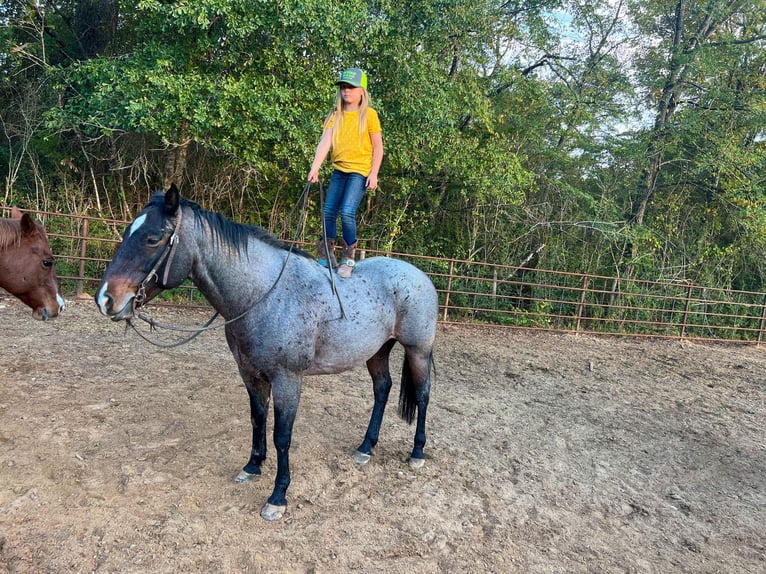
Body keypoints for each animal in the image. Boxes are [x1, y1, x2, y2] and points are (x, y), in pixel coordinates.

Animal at [96, 186, 438, 520]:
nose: (106, 299)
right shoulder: (250, 373)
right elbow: (257, 419)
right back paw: (366, 447)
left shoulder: (288, 379)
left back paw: (417, 453)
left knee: (422, 395)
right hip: (377, 351)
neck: (262, 295)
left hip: (417, 351)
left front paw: (278, 496)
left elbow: (281, 435)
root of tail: (418, 275)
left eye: (153, 238)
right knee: (382, 389)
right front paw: (252, 466)